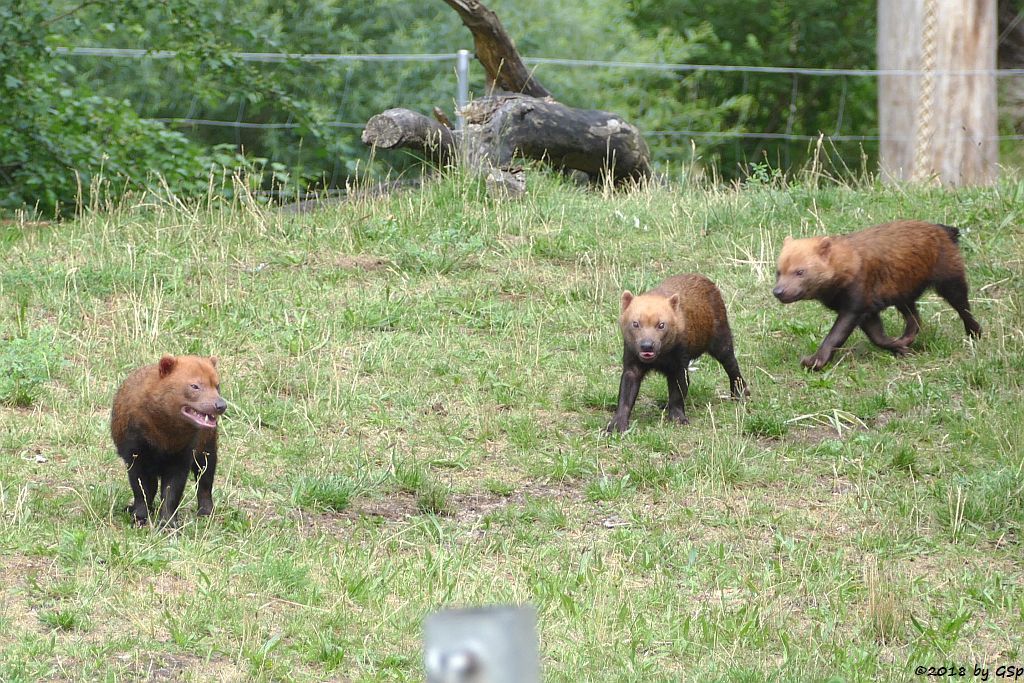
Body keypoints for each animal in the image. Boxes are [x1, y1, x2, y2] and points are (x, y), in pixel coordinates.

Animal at [110, 356, 226, 528]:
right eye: (195, 385)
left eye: (217, 385)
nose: (221, 405)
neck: (163, 438)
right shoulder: (134, 454)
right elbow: (141, 490)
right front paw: (139, 517)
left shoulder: (182, 456)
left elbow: (172, 492)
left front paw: (168, 523)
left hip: (207, 447)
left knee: (205, 481)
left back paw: (206, 512)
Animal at [602, 274, 749, 430]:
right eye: (635, 323)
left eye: (661, 324)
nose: (647, 346)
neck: (660, 358)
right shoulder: (631, 364)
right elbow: (625, 396)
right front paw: (616, 425)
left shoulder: (679, 364)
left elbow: (678, 392)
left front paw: (678, 419)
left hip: (722, 340)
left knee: (732, 365)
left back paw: (740, 393)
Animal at [774, 220, 983, 370]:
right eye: (778, 271)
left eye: (800, 271)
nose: (777, 292)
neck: (848, 263)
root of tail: (945, 230)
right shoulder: (867, 311)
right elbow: (878, 338)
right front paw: (900, 348)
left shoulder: (854, 305)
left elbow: (835, 336)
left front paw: (814, 361)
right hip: (903, 294)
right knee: (914, 320)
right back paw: (906, 339)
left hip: (950, 281)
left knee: (964, 309)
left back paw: (975, 334)